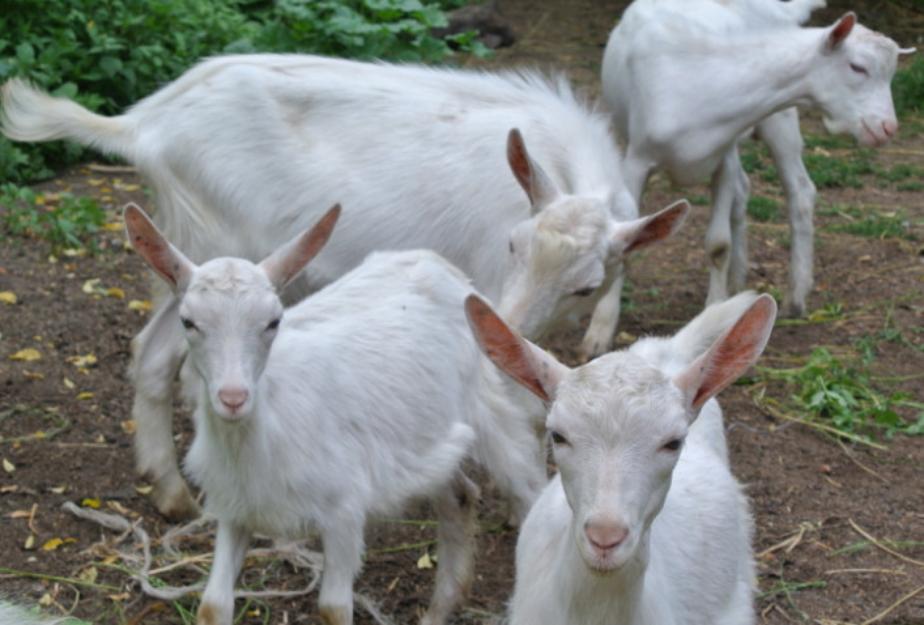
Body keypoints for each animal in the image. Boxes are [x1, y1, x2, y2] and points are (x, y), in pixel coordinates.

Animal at [1, 57, 688, 518]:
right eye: (516, 244)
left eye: (586, 285)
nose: (515, 319)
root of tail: (144, 123)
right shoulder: (488, 279)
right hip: (212, 247)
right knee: (158, 354)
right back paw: (174, 494)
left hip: (174, 249)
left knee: (147, 350)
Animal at [602, 0, 913, 316]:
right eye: (857, 67)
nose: (888, 128)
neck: (705, 79)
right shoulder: (637, 160)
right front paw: (602, 325)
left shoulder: (724, 158)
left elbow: (718, 244)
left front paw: (715, 307)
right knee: (745, 191)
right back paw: (738, 281)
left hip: (780, 121)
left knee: (799, 191)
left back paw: (795, 295)